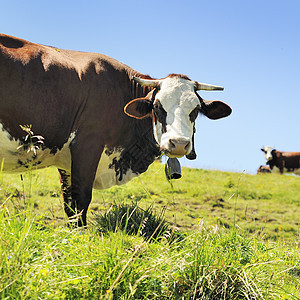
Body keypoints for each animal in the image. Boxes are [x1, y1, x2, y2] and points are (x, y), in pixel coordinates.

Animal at [0, 33, 232, 225]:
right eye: (158, 106)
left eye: (196, 109)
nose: (179, 144)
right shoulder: (87, 146)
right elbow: (81, 201)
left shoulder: (66, 161)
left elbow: (70, 206)